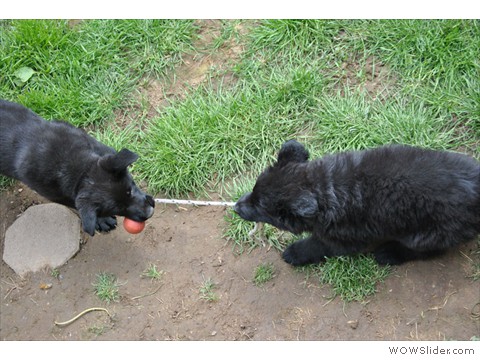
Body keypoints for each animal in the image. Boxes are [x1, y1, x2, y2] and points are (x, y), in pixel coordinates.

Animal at [0, 100, 154, 238]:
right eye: (119, 209)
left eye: (130, 190)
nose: (150, 212)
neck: (80, 170)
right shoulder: (59, 196)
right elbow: (76, 204)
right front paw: (101, 220)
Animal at [236, 139, 480, 266]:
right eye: (253, 191)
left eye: (260, 207)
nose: (236, 207)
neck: (325, 187)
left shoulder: (343, 238)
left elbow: (316, 245)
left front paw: (295, 253)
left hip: (429, 232)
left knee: (430, 251)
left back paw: (390, 253)